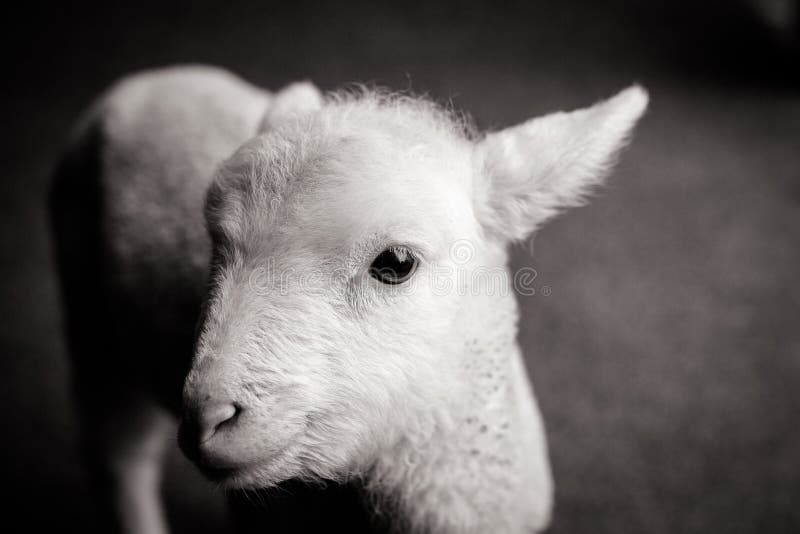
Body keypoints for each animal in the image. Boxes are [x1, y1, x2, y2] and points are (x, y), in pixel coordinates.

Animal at [50, 65, 648, 534]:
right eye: (216, 246)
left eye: (397, 262)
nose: (208, 417)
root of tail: (151, 79)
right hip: (90, 321)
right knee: (120, 458)